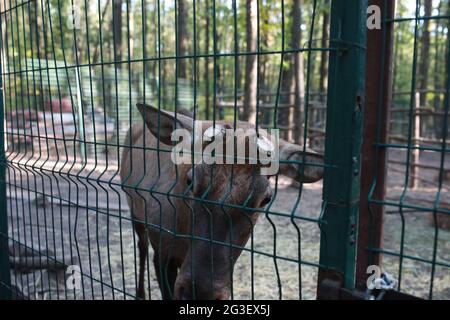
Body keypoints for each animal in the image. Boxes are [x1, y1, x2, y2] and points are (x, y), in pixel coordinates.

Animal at [119, 103, 324, 300]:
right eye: (190, 180)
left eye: (266, 198)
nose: (199, 293)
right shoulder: (161, 252)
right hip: (133, 209)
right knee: (141, 246)